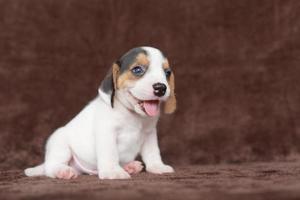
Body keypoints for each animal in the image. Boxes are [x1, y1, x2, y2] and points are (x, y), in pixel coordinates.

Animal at [25, 47, 177, 180]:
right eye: (137, 69)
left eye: (167, 73)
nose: (161, 88)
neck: (131, 114)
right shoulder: (107, 133)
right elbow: (111, 154)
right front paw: (113, 171)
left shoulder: (149, 134)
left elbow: (153, 153)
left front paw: (157, 166)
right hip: (60, 144)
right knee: (50, 168)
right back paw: (62, 171)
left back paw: (130, 167)